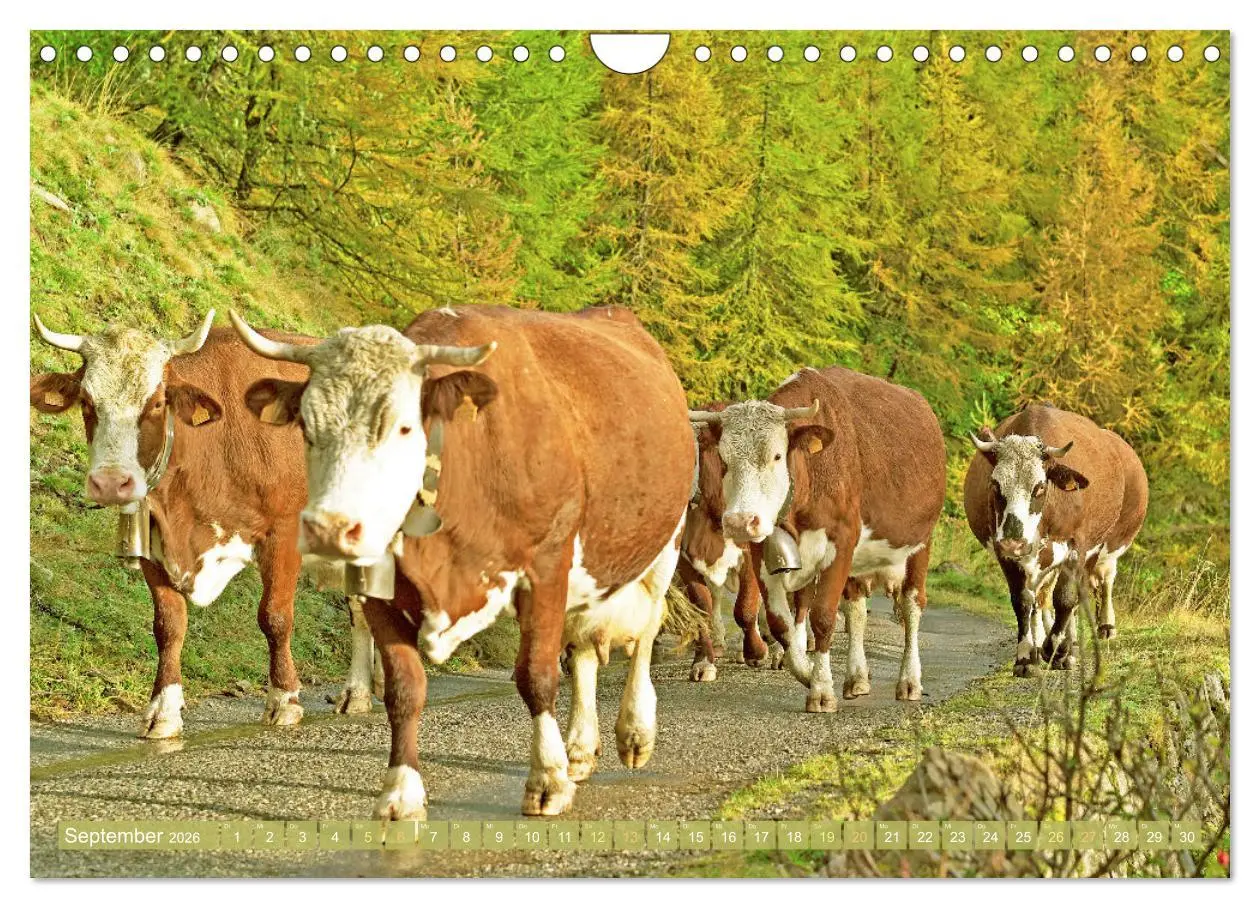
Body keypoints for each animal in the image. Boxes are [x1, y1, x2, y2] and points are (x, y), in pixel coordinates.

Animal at [29, 312, 377, 738]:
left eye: (157, 402)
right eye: (87, 401)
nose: (111, 482)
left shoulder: (283, 532)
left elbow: (275, 617)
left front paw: (284, 700)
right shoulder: (156, 542)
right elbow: (169, 625)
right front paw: (163, 711)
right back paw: (362, 692)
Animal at [230, 304, 695, 820]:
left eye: (404, 427)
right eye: (307, 429)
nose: (330, 526)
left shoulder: (547, 567)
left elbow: (537, 676)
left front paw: (546, 780)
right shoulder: (379, 589)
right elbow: (404, 688)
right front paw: (401, 792)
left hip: (663, 544)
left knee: (646, 632)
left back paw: (633, 732)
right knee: (585, 650)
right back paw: (578, 748)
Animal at [689, 366, 947, 710]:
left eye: (776, 456)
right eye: (725, 460)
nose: (740, 521)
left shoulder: (841, 543)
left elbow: (823, 617)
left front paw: (821, 689)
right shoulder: (763, 553)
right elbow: (781, 622)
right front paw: (806, 672)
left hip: (920, 543)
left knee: (912, 606)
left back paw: (909, 680)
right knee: (856, 610)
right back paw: (857, 677)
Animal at [963, 404, 1148, 675]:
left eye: (1039, 487)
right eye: (995, 485)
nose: (1014, 542)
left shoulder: (1077, 547)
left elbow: (1066, 599)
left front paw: (1057, 650)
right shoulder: (1004, 552)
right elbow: (1023, 600)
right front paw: (1026, 657)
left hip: (1104, 547)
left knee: (1101, 581)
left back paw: (1093, 633)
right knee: (1041, 596)